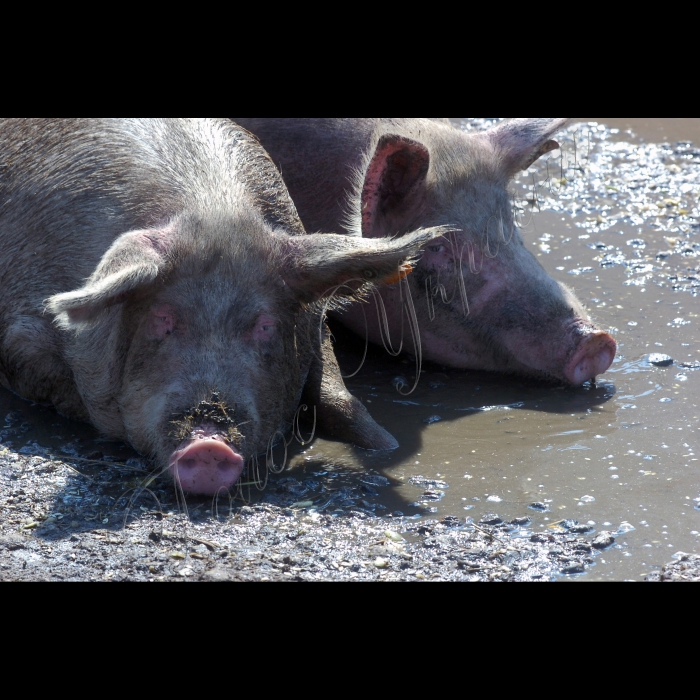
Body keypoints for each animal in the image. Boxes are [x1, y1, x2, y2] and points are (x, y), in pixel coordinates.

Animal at [0, 117, 438, 494]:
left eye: (264, 325)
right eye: (162, 317)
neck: (213, 207)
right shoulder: (21, 339)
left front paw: (386, 445)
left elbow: (338, 395)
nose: (209, 444)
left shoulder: (314, 322)